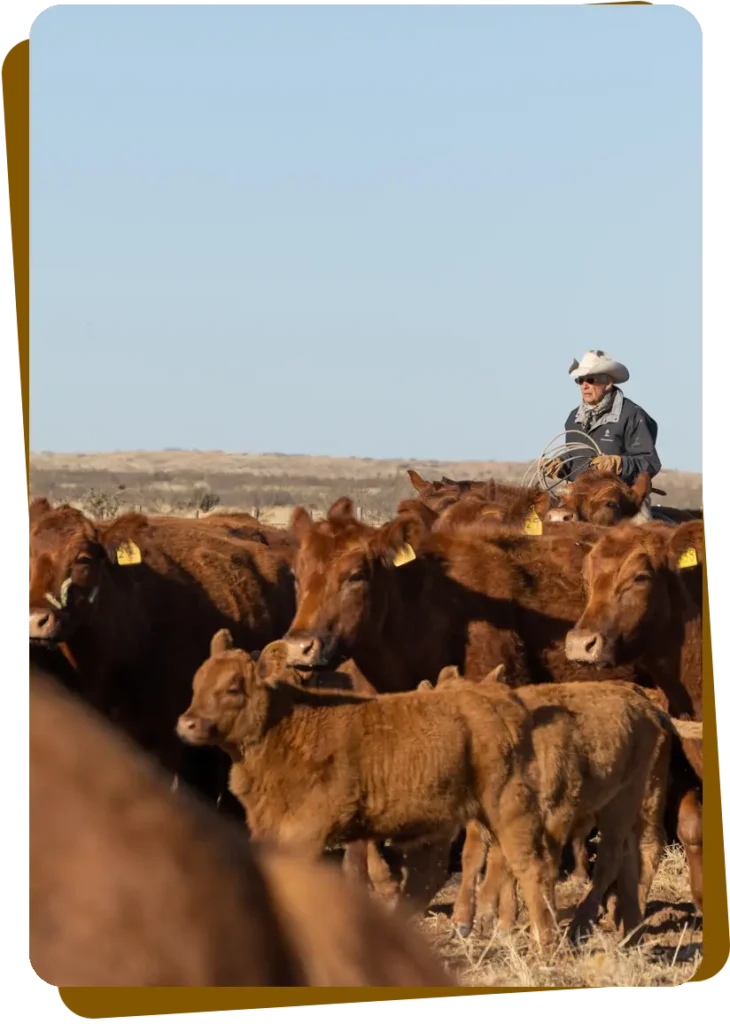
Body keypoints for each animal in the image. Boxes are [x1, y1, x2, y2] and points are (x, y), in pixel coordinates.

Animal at [176, 628, 566, 952]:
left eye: (233, 688)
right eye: (196, 684)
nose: (187, 723)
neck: (286, 725)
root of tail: (501, 698)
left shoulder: (307, 829)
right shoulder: (265, 824)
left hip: (507, 807)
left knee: (528, 867)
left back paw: (543, 947)